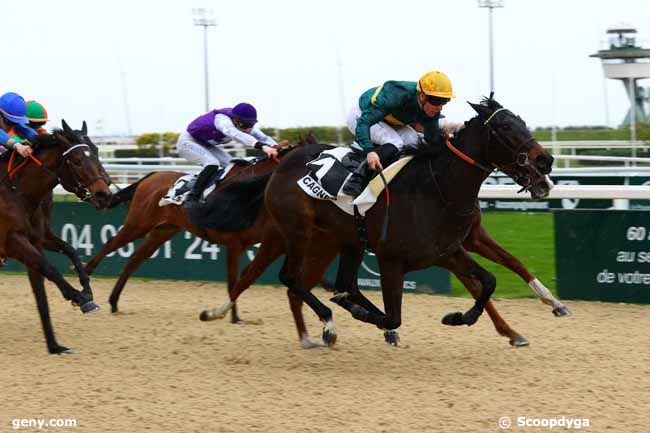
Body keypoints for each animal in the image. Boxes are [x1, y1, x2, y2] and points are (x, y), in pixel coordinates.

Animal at [0, 120, 111, 352]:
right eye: (77, 161)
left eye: (96, 151)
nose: (104, 195)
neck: (15, 192)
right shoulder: (13, 242)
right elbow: (50, 269)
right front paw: (79, 297)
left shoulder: (40, 238)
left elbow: (70, 252)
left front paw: (55, 346)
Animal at [202, 96, 552, 346]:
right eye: (504, 128)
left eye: (522, 122)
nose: (545, 161)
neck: (437, 187)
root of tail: (280, 163)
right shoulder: (391, 260)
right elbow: (394, 316)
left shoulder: (449, 251)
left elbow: (489, 281)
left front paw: (460, 317)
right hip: (298, 233)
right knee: (289, 278)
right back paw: (326, 321)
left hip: (344, 240)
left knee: (342, 283)